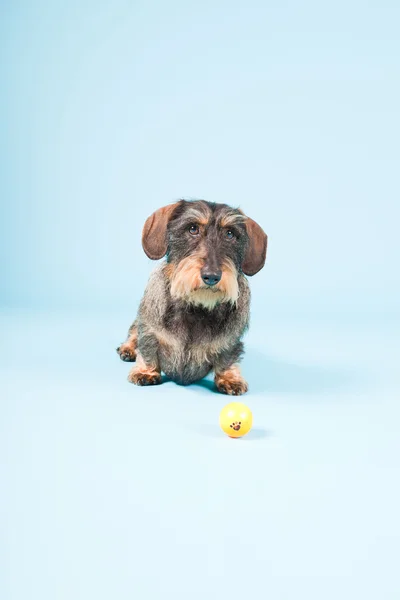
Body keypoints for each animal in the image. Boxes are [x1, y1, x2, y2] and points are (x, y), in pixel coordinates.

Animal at [115, 200, 268, 394]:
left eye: (230, 233)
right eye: (193, 228)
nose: (211, 276)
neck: (197, 308)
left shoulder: (231, 341)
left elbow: (227, 358)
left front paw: (230, 378)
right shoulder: (149, 329)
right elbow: (147, 347)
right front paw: (145, 371)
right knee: (133, 332)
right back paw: (128, 349)